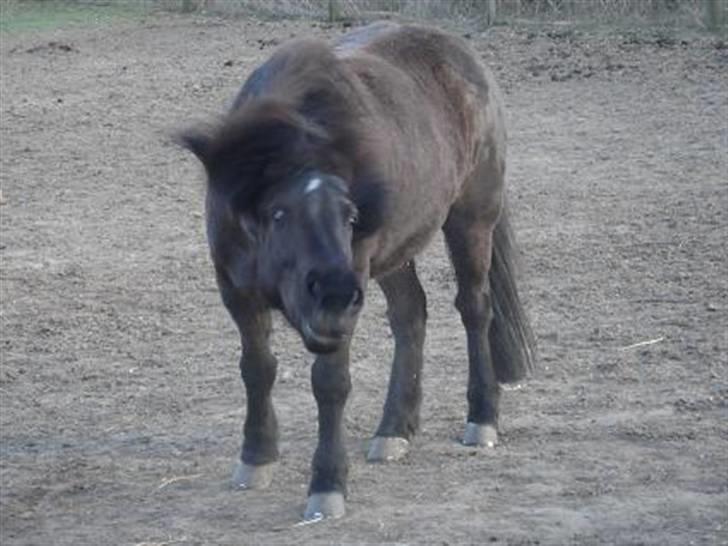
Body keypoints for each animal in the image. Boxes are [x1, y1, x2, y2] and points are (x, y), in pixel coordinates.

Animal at [179, 21, 532, 520]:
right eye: (279, 215)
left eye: (349, 216)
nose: (333, 293)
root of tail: (460, 52)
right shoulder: (235, 288)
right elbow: (257, 367)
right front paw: (256, 456)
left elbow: (330, 383)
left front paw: (327, 483)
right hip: (396, 251)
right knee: (410, 315)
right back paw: (395, 429)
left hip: (471, 218)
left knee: (475, 309)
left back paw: (481, 417)